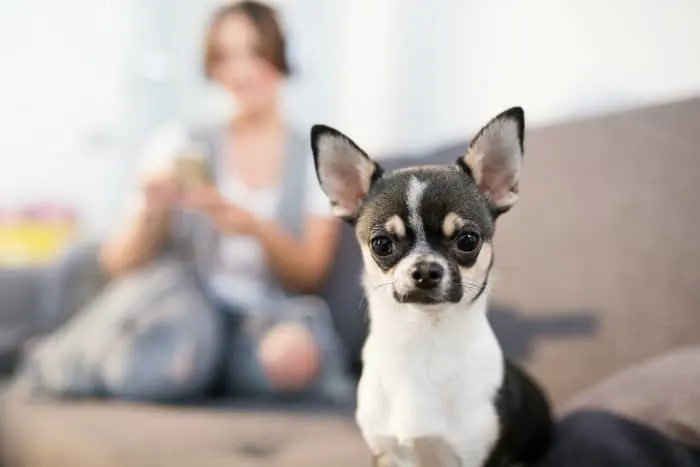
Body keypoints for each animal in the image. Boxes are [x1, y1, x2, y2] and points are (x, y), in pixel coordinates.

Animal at [312, 108, 552, 466]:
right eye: (382, 244)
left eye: (468, 240)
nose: (425, 269)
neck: (423, 340)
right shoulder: (386, 455)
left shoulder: (478, 456)